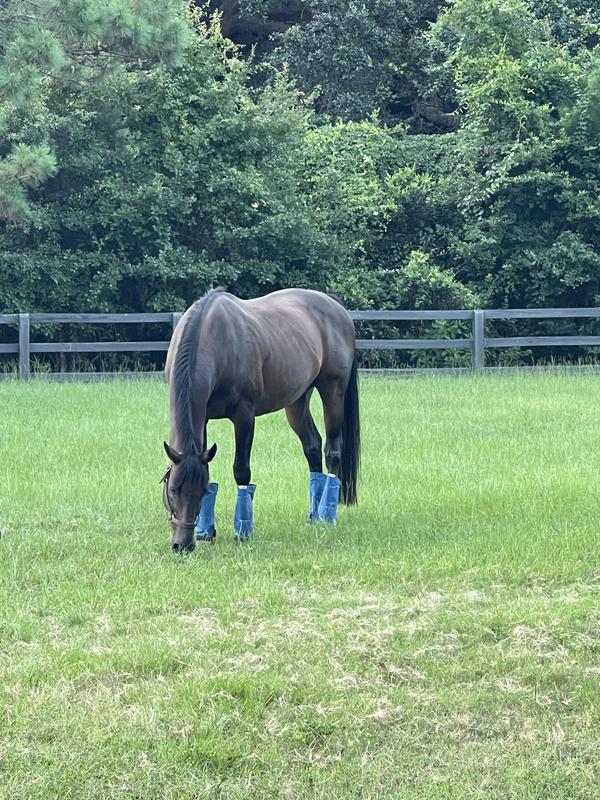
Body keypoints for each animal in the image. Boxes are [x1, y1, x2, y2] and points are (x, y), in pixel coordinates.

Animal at [161, 288, 360, 552]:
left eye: (201, 492)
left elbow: (241, 470)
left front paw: (242, 530)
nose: (182, 545)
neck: (216, 340)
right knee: (312, 447)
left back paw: (326, 515)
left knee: (332, 451)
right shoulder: (202, 418)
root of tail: (335, 305)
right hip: (297, 401)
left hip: (333, 392)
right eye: (173, 489)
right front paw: (206, 532)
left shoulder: (244, 415)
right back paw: (313, 514)